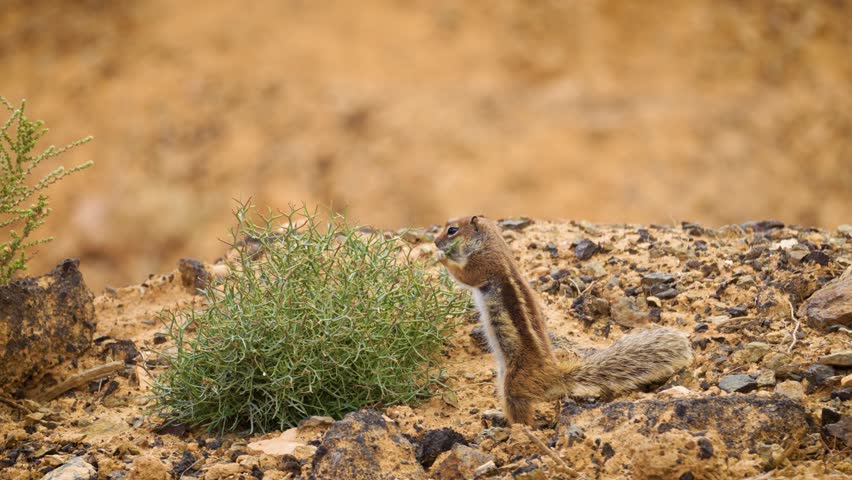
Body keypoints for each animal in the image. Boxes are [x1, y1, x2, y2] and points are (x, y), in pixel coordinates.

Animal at [434, 215, 693, 425]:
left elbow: (465, 275)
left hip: (511, 384)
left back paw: (506, 425)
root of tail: (554, 375)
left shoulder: (484, 265)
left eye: (452, 230)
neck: (491, 242)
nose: (436, 242)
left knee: (523, 419)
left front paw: (442, 257)